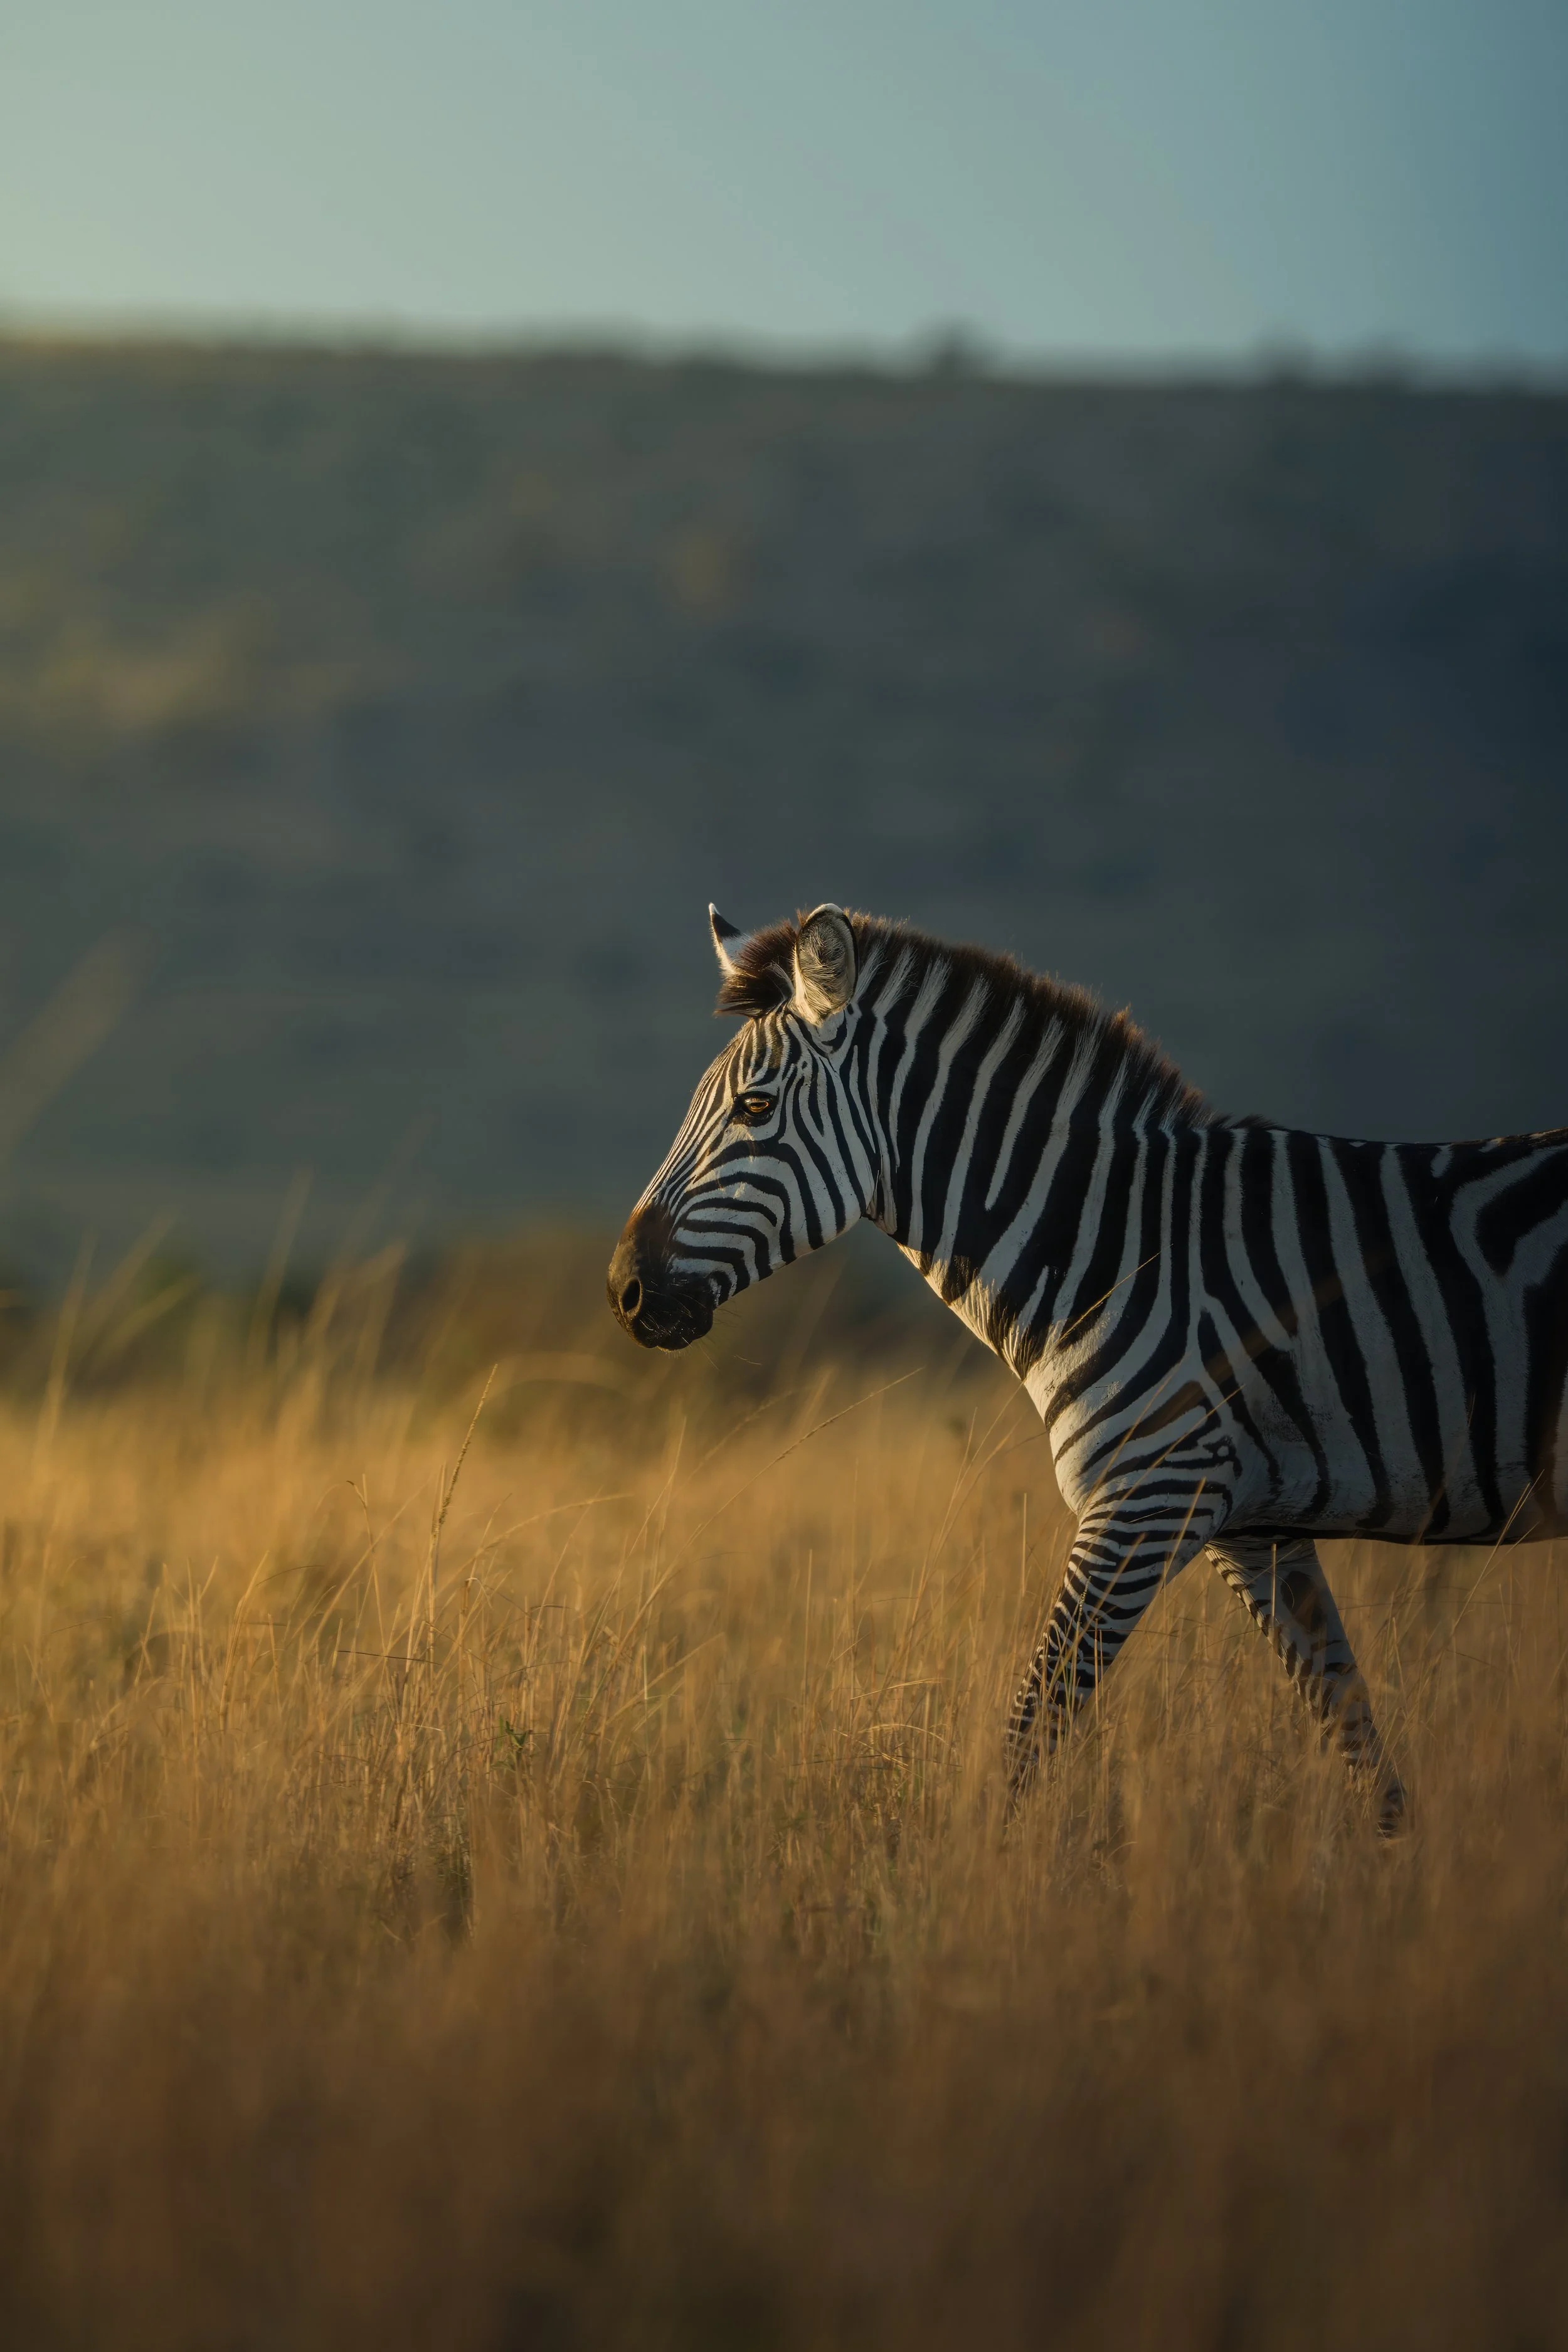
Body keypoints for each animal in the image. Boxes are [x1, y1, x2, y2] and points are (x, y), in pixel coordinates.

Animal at [607, 903, 1568, 1829]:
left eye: (755, 1108)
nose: (623, 1288)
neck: (1118, 1246)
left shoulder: (1149, 1493)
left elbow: (1030, 1729)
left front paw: (974, 1874)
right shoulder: (1255, 1529)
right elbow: (1350, 1723)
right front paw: (1395, 1869)